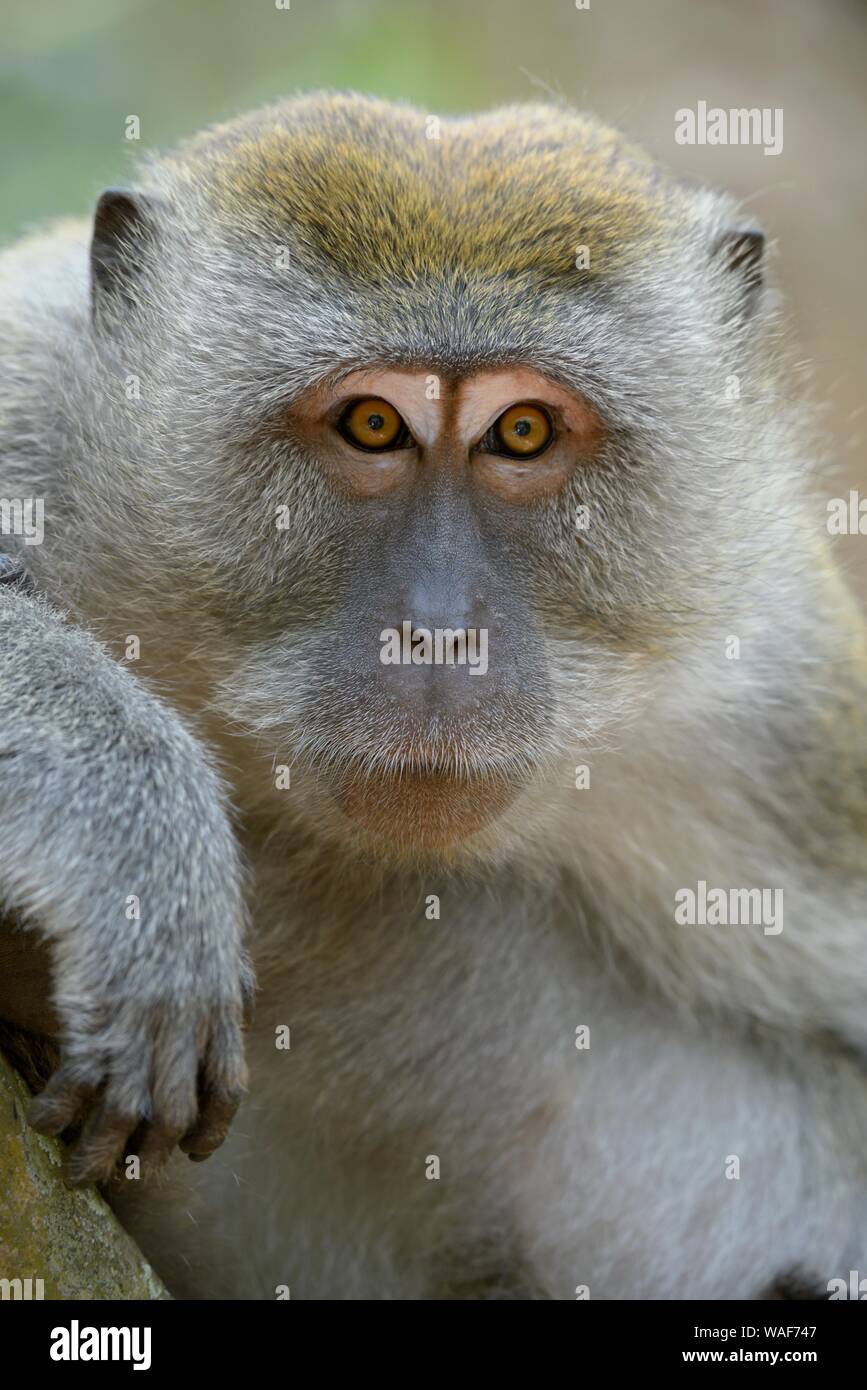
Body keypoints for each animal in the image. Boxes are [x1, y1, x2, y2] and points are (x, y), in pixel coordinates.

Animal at [1, 89, 867, 1301]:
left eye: (523, 431)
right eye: (371, 423)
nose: (441, 629)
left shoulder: (777, 696)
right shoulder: (31, 397)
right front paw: (138, 844)